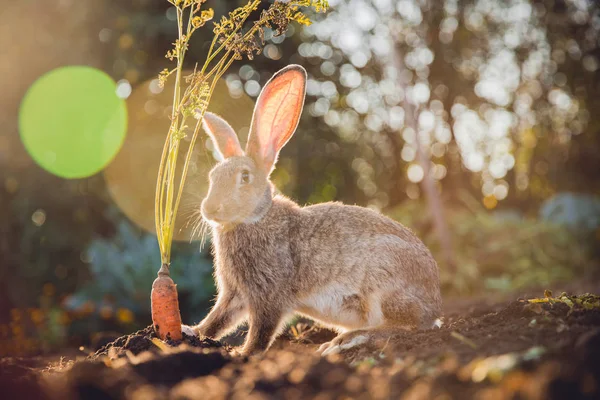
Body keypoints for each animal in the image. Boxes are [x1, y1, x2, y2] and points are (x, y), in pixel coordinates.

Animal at [180, 64, 442, 354]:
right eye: (213, 176)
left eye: (245, 178)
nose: (209, 209)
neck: (257, 217)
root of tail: (435, 304)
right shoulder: (235, 293)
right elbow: (219, 320)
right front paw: (191, 331)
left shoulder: (269, 294)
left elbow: (262, 329)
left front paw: (244, 354)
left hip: (383, 285)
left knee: (407, 326)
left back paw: (346, 340)